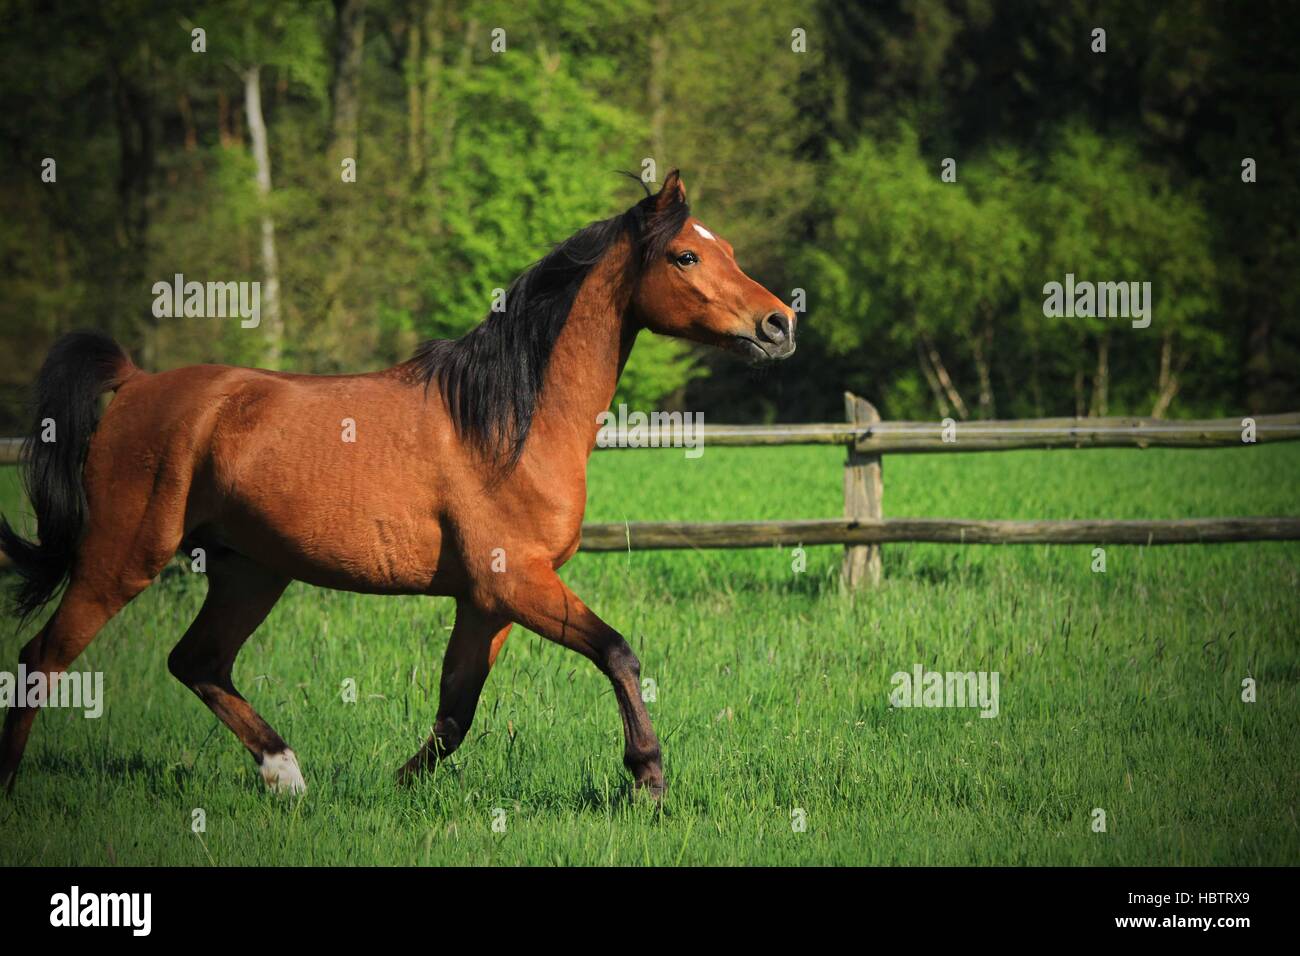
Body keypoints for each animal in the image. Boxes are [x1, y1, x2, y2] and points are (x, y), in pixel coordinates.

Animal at [0, 170, 796, 798]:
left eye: (726, 250)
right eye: (687, 254)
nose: (780, 323)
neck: (505, 421)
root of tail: (134, 385)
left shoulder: (486, 601)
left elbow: (456, 710)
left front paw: (397, 784)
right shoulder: (517, 582)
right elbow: (617, 653)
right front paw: (648, 777)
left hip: (250, 571)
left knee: (196, 661)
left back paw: (286, 775)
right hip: (121, 559)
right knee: (42, 659)